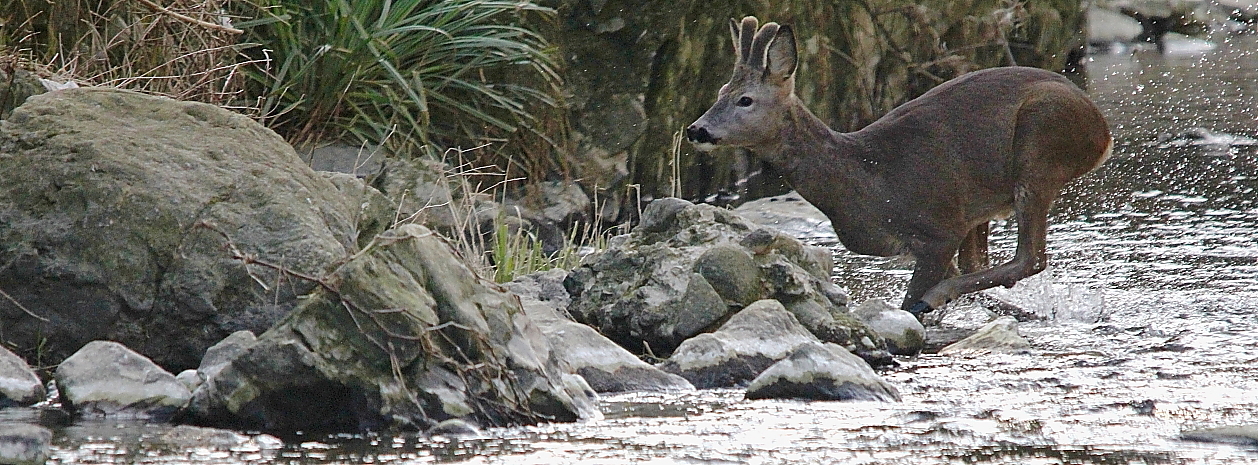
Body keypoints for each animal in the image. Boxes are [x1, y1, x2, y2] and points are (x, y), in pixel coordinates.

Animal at [689, 16, 1112, 317]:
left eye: (745, 99)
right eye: (720, 92)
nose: (696, 129)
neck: (864, 177)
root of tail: (1103, 132)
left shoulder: (938, 227)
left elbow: (914, 298)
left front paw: (924, 305)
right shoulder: (943, 229)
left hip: (1039, 147)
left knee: (1031, 257)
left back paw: (939, 299)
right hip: (983, 197)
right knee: (986, 261)